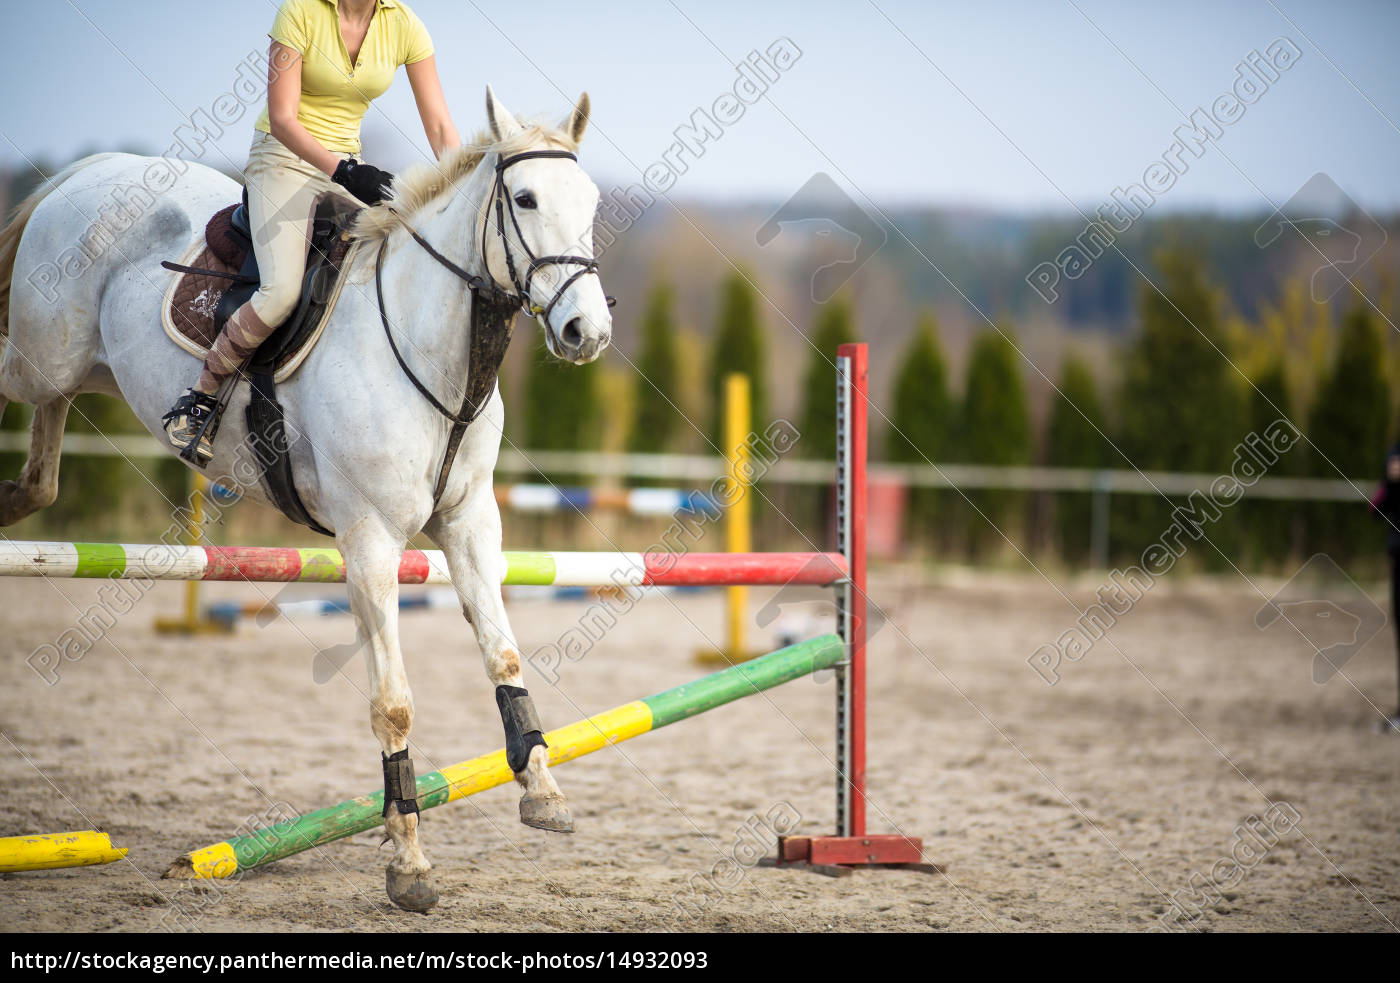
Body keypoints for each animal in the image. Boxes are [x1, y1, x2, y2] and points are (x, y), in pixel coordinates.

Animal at [0, 88, 613, 912]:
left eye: (591, 202)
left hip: (74, 374)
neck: (431, 345)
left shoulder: (468, 523)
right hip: (38, 358)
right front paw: (409, 863)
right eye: (525, 199)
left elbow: (505, 651)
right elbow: (393, 702)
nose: (588, 331)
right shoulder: (371, 539)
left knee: (42, 474)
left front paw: (542, 791)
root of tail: (92, 171)